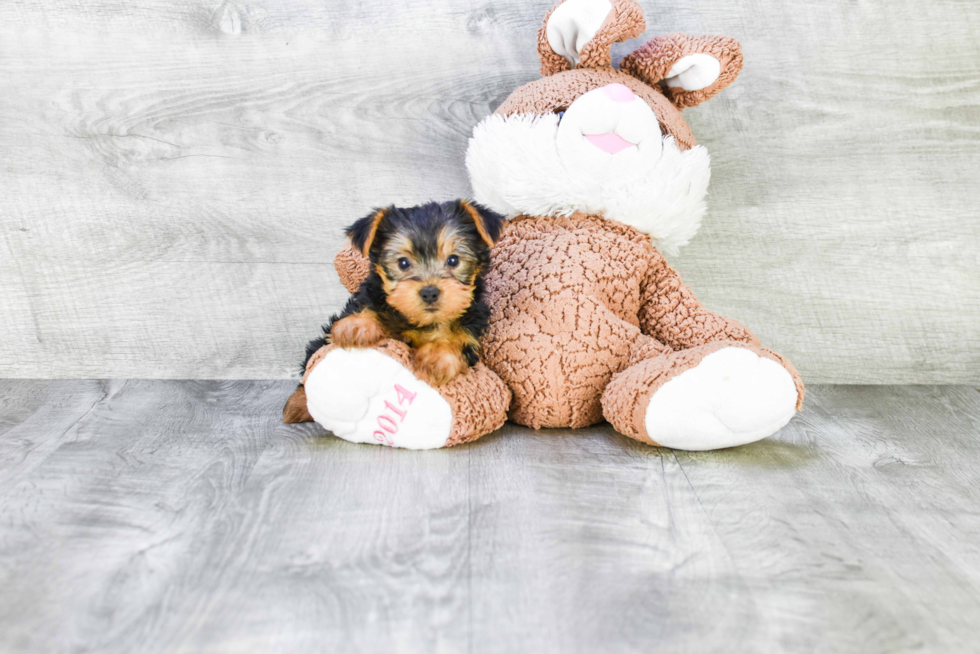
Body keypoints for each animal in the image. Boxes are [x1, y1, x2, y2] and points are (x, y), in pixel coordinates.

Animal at [280, 200, 502, 426]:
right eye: (403, 263)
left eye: (454, 260)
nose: (430, 292)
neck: (421, 321)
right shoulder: (370, 296)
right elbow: (369, 306)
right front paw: (357, 325)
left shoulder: (471, 327)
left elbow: (457, 340)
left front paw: (437, 357)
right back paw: (299, 403)